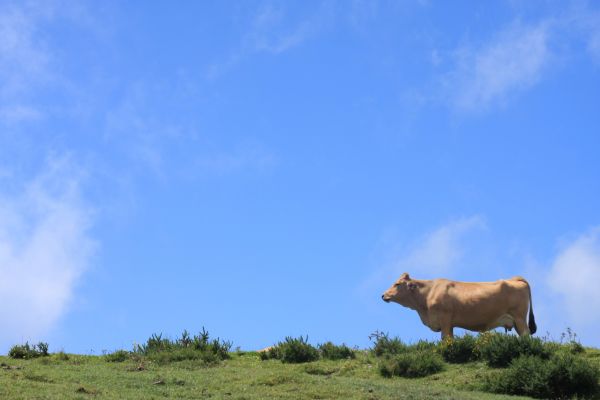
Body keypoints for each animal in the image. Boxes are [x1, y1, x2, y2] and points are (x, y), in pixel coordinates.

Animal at [382, 272, 536, 338]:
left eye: (397, 284)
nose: (383, 295)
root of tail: (515, 278)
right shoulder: (450, 324)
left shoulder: (444, 319)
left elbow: (445, 339)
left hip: (519, 318)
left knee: (526, 334)